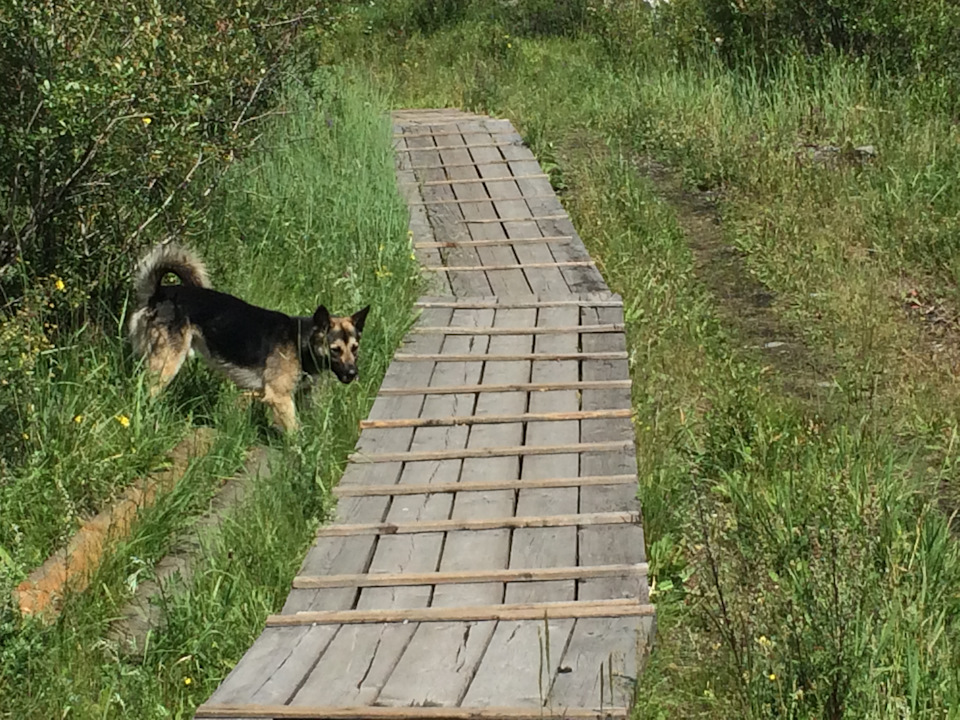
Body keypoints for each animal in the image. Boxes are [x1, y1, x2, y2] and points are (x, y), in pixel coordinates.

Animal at [127, 242, 368, 434]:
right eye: (335, 349)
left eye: (355, 348)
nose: (353, 374)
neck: (301, 341)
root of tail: (158, 294)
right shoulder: (279, 397)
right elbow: (295, 433)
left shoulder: (300, 395)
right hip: (166, 364)